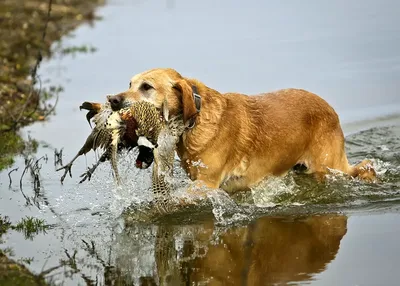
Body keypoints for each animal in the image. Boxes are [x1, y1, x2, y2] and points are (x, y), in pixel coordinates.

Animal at [106, 67, 376, 192]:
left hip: (329, 166)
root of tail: (330, 108)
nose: (112, 99)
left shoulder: (206, 184)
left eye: (146, 87)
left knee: (364, 168)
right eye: (129, 84)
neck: (195, 121)